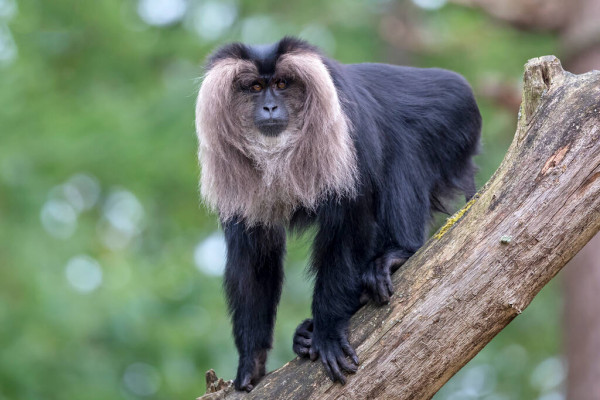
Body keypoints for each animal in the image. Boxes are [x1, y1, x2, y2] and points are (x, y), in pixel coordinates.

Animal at [195, 36, 480, 390]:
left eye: (282, 84)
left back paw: (397, 255)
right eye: (255, 87)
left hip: (453, 117)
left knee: (401, 153)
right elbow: (253, 257)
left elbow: (350, 227)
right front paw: (252, 362)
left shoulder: (347, 133)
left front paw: (328, 332)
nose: (270, 107)